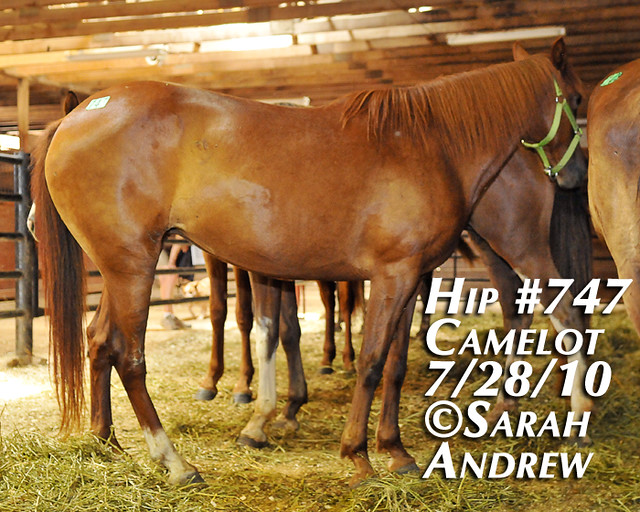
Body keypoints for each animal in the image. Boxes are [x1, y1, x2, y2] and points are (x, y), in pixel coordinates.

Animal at [32, 37, 586, 486]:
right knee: (128, 355)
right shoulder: (391, 275)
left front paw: (396, 451)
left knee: (99, 342)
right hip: (132, 265)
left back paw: (107, 443)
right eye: (578, 99)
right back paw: (174, 463)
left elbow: (394, 365)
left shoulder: (411, 276)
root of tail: (80, 114)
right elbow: (369, 361)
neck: (433, 144)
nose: (576, 174)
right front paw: (357, 454)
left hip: (120, 267)